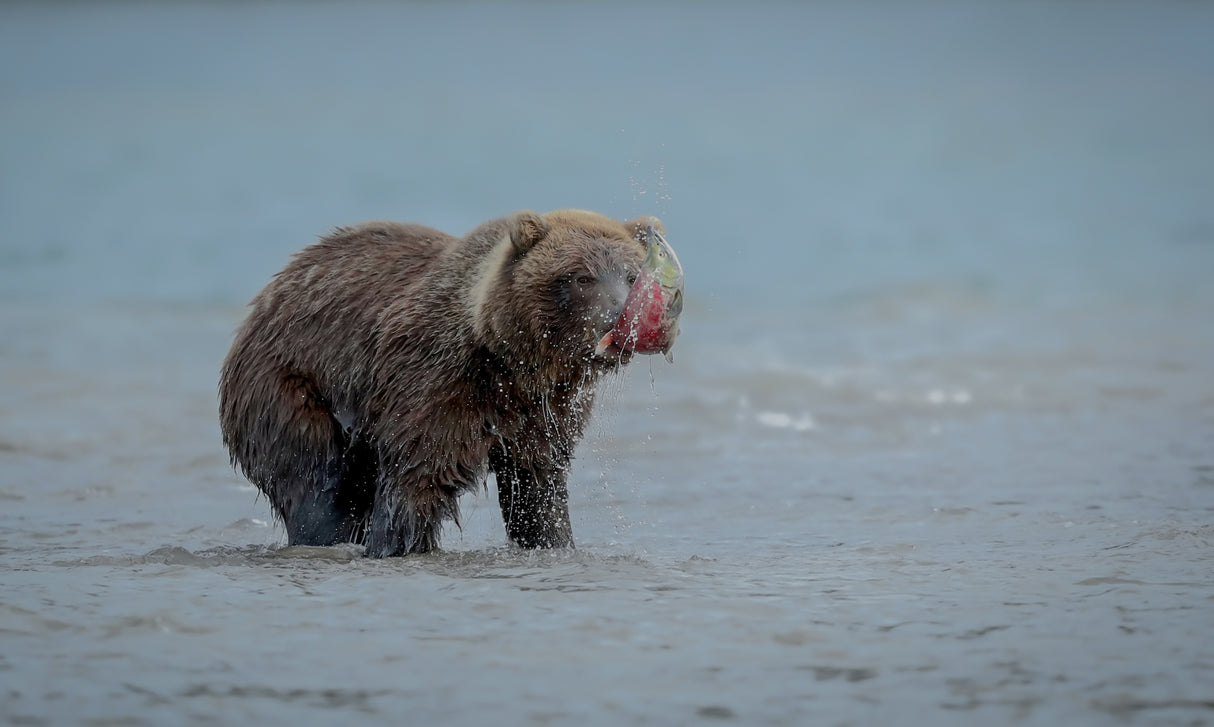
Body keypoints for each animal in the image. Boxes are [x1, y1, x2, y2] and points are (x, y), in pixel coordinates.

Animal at [218, 209, 676, 557]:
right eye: (581, 277)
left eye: (632, 275)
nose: (624, 316)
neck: (512, 362)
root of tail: (271, 292)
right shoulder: (437, 382)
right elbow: (418, 478)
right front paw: (399, 544)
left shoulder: (546, 409)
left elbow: (539, 489)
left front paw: (552, 540)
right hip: (291, 383)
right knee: (319, 485)